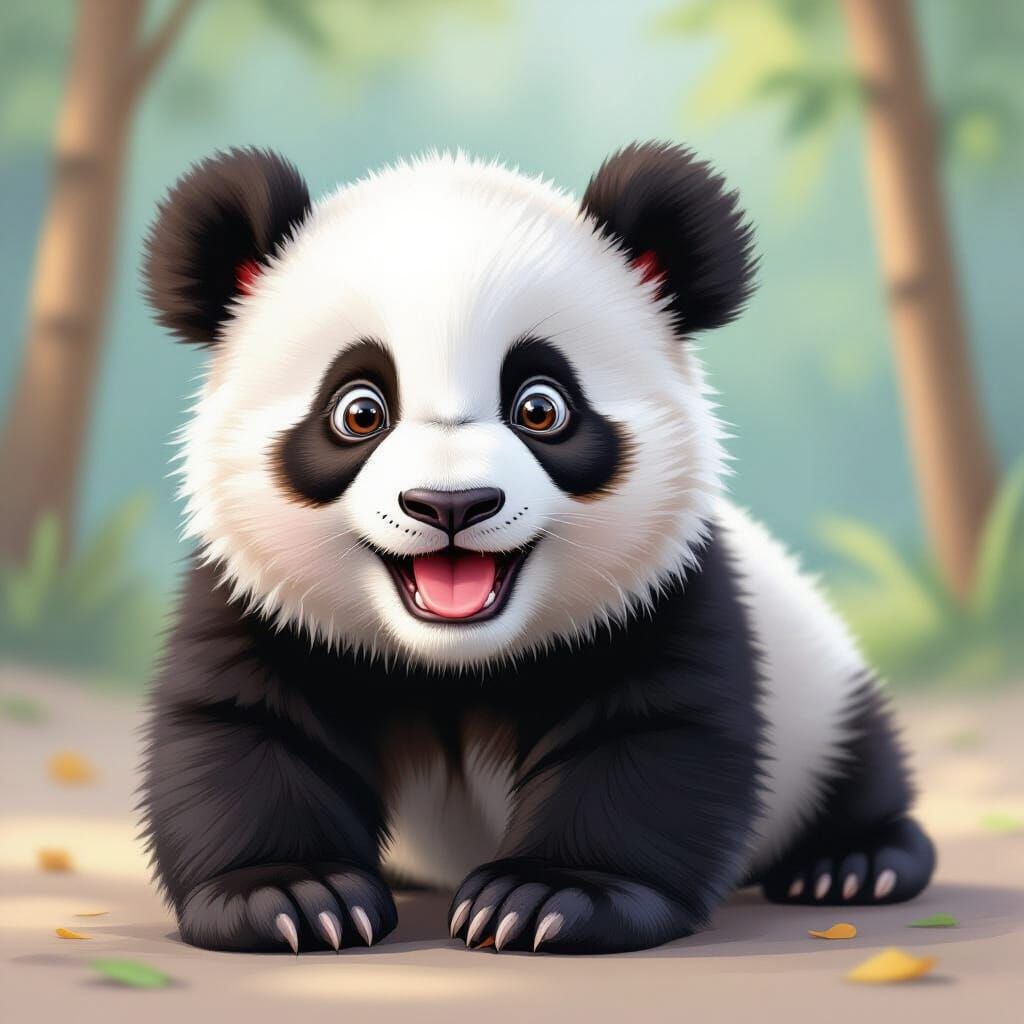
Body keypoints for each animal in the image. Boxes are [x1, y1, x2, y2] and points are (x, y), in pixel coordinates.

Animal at [140, 142, 935, 956]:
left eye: (541, 408)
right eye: (358, 411)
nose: (450, 505)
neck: (453, 662)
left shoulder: (660, 591)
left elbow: (646, 739)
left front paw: (546, 897)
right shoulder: (263, 601)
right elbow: (249, 728)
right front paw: (293, 894)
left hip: (823, 695)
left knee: (859, 764)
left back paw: (852, 865)